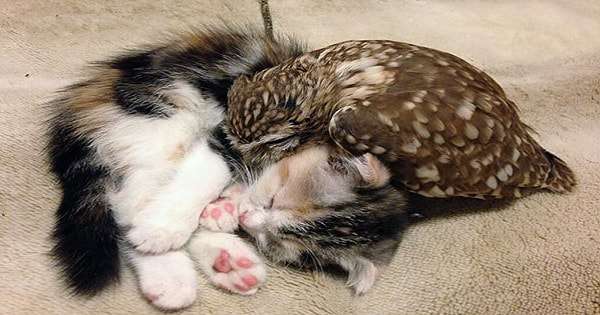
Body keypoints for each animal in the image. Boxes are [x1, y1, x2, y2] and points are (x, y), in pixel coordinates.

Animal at [45, 25, 304, 312]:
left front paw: (225, 207)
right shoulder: (240, 128)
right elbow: (212, 170)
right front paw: (163, 227)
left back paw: (227, 262)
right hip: (167, 115)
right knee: (129, 204)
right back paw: (167, 267)